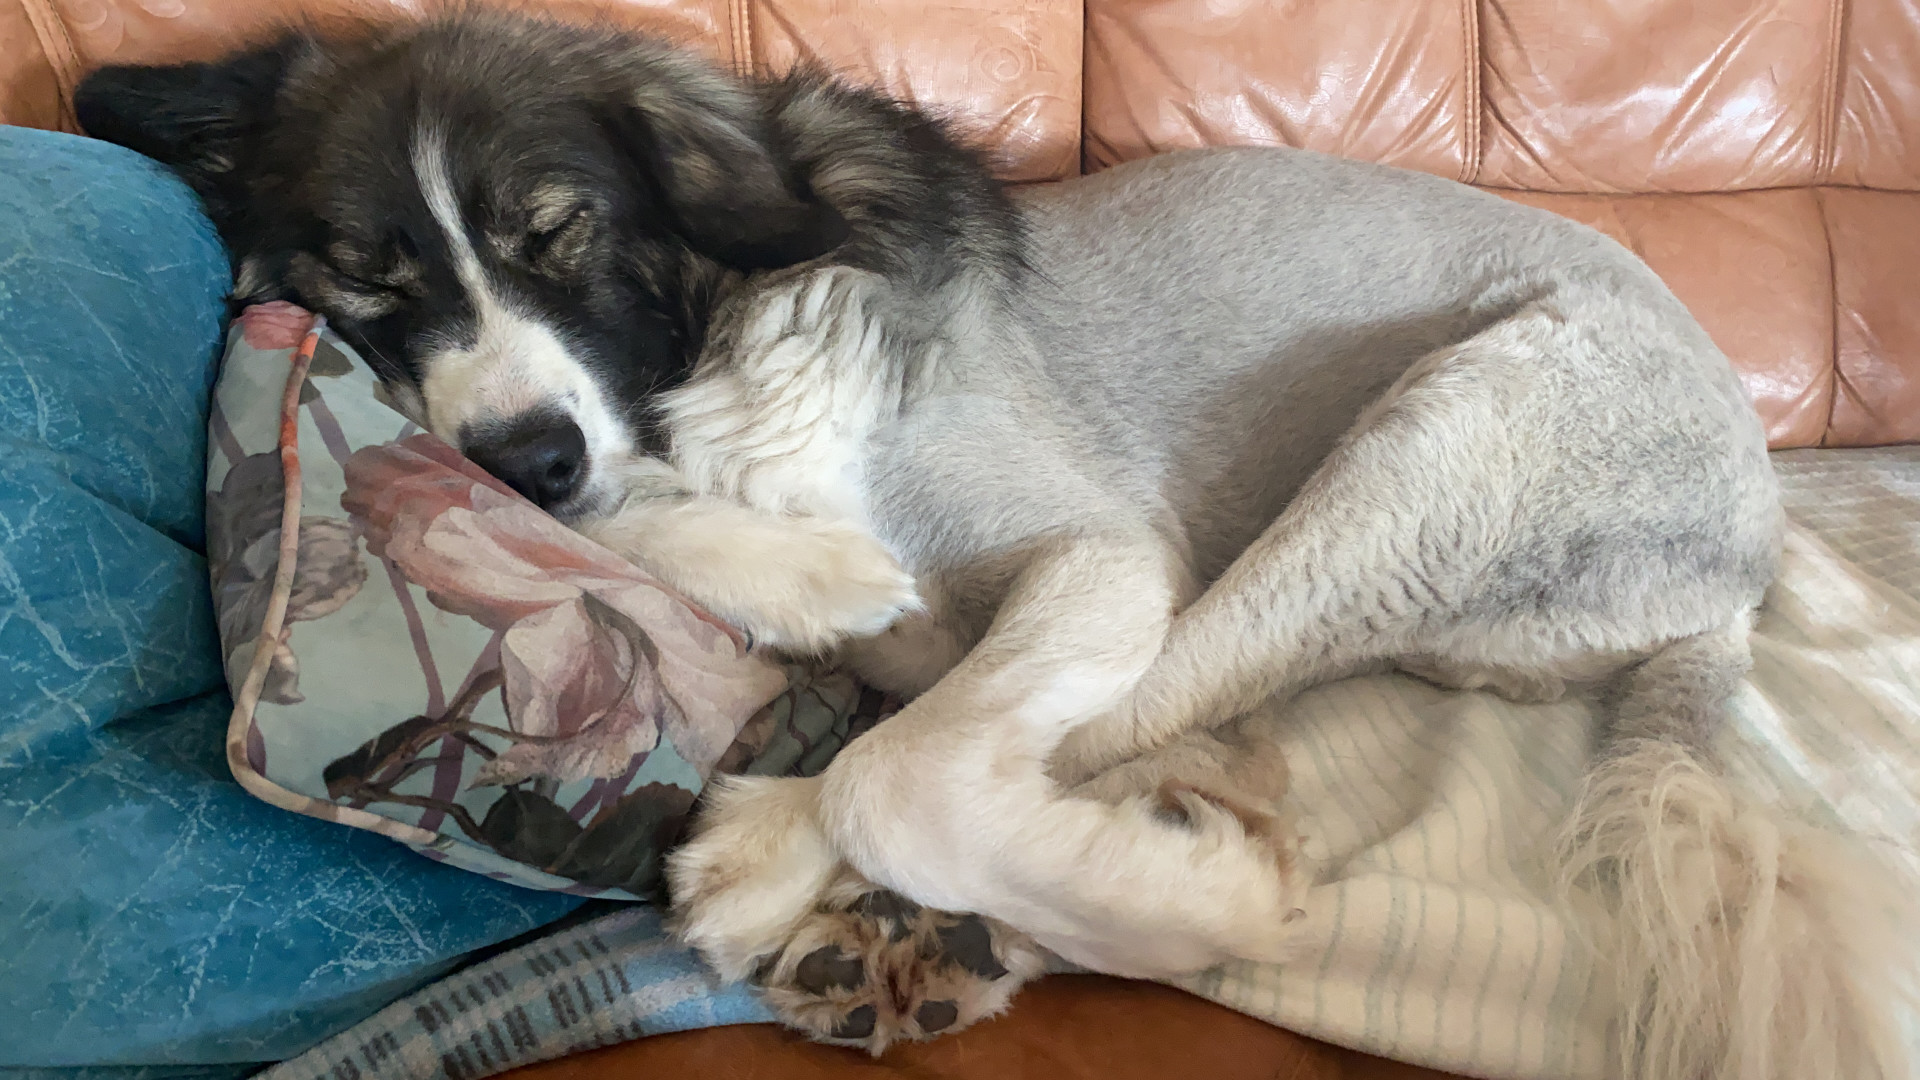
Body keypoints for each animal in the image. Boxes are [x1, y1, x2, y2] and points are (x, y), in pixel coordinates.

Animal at [77, 13, 1917, 1075]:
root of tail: (1741, 569)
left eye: (563, 235)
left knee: (1137, 706)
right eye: (362, 284)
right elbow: (705, 551)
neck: (715, 337)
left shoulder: (1093, 555)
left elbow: (908, 771)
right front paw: (790, 573)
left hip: (1439, 434)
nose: (526, 460)